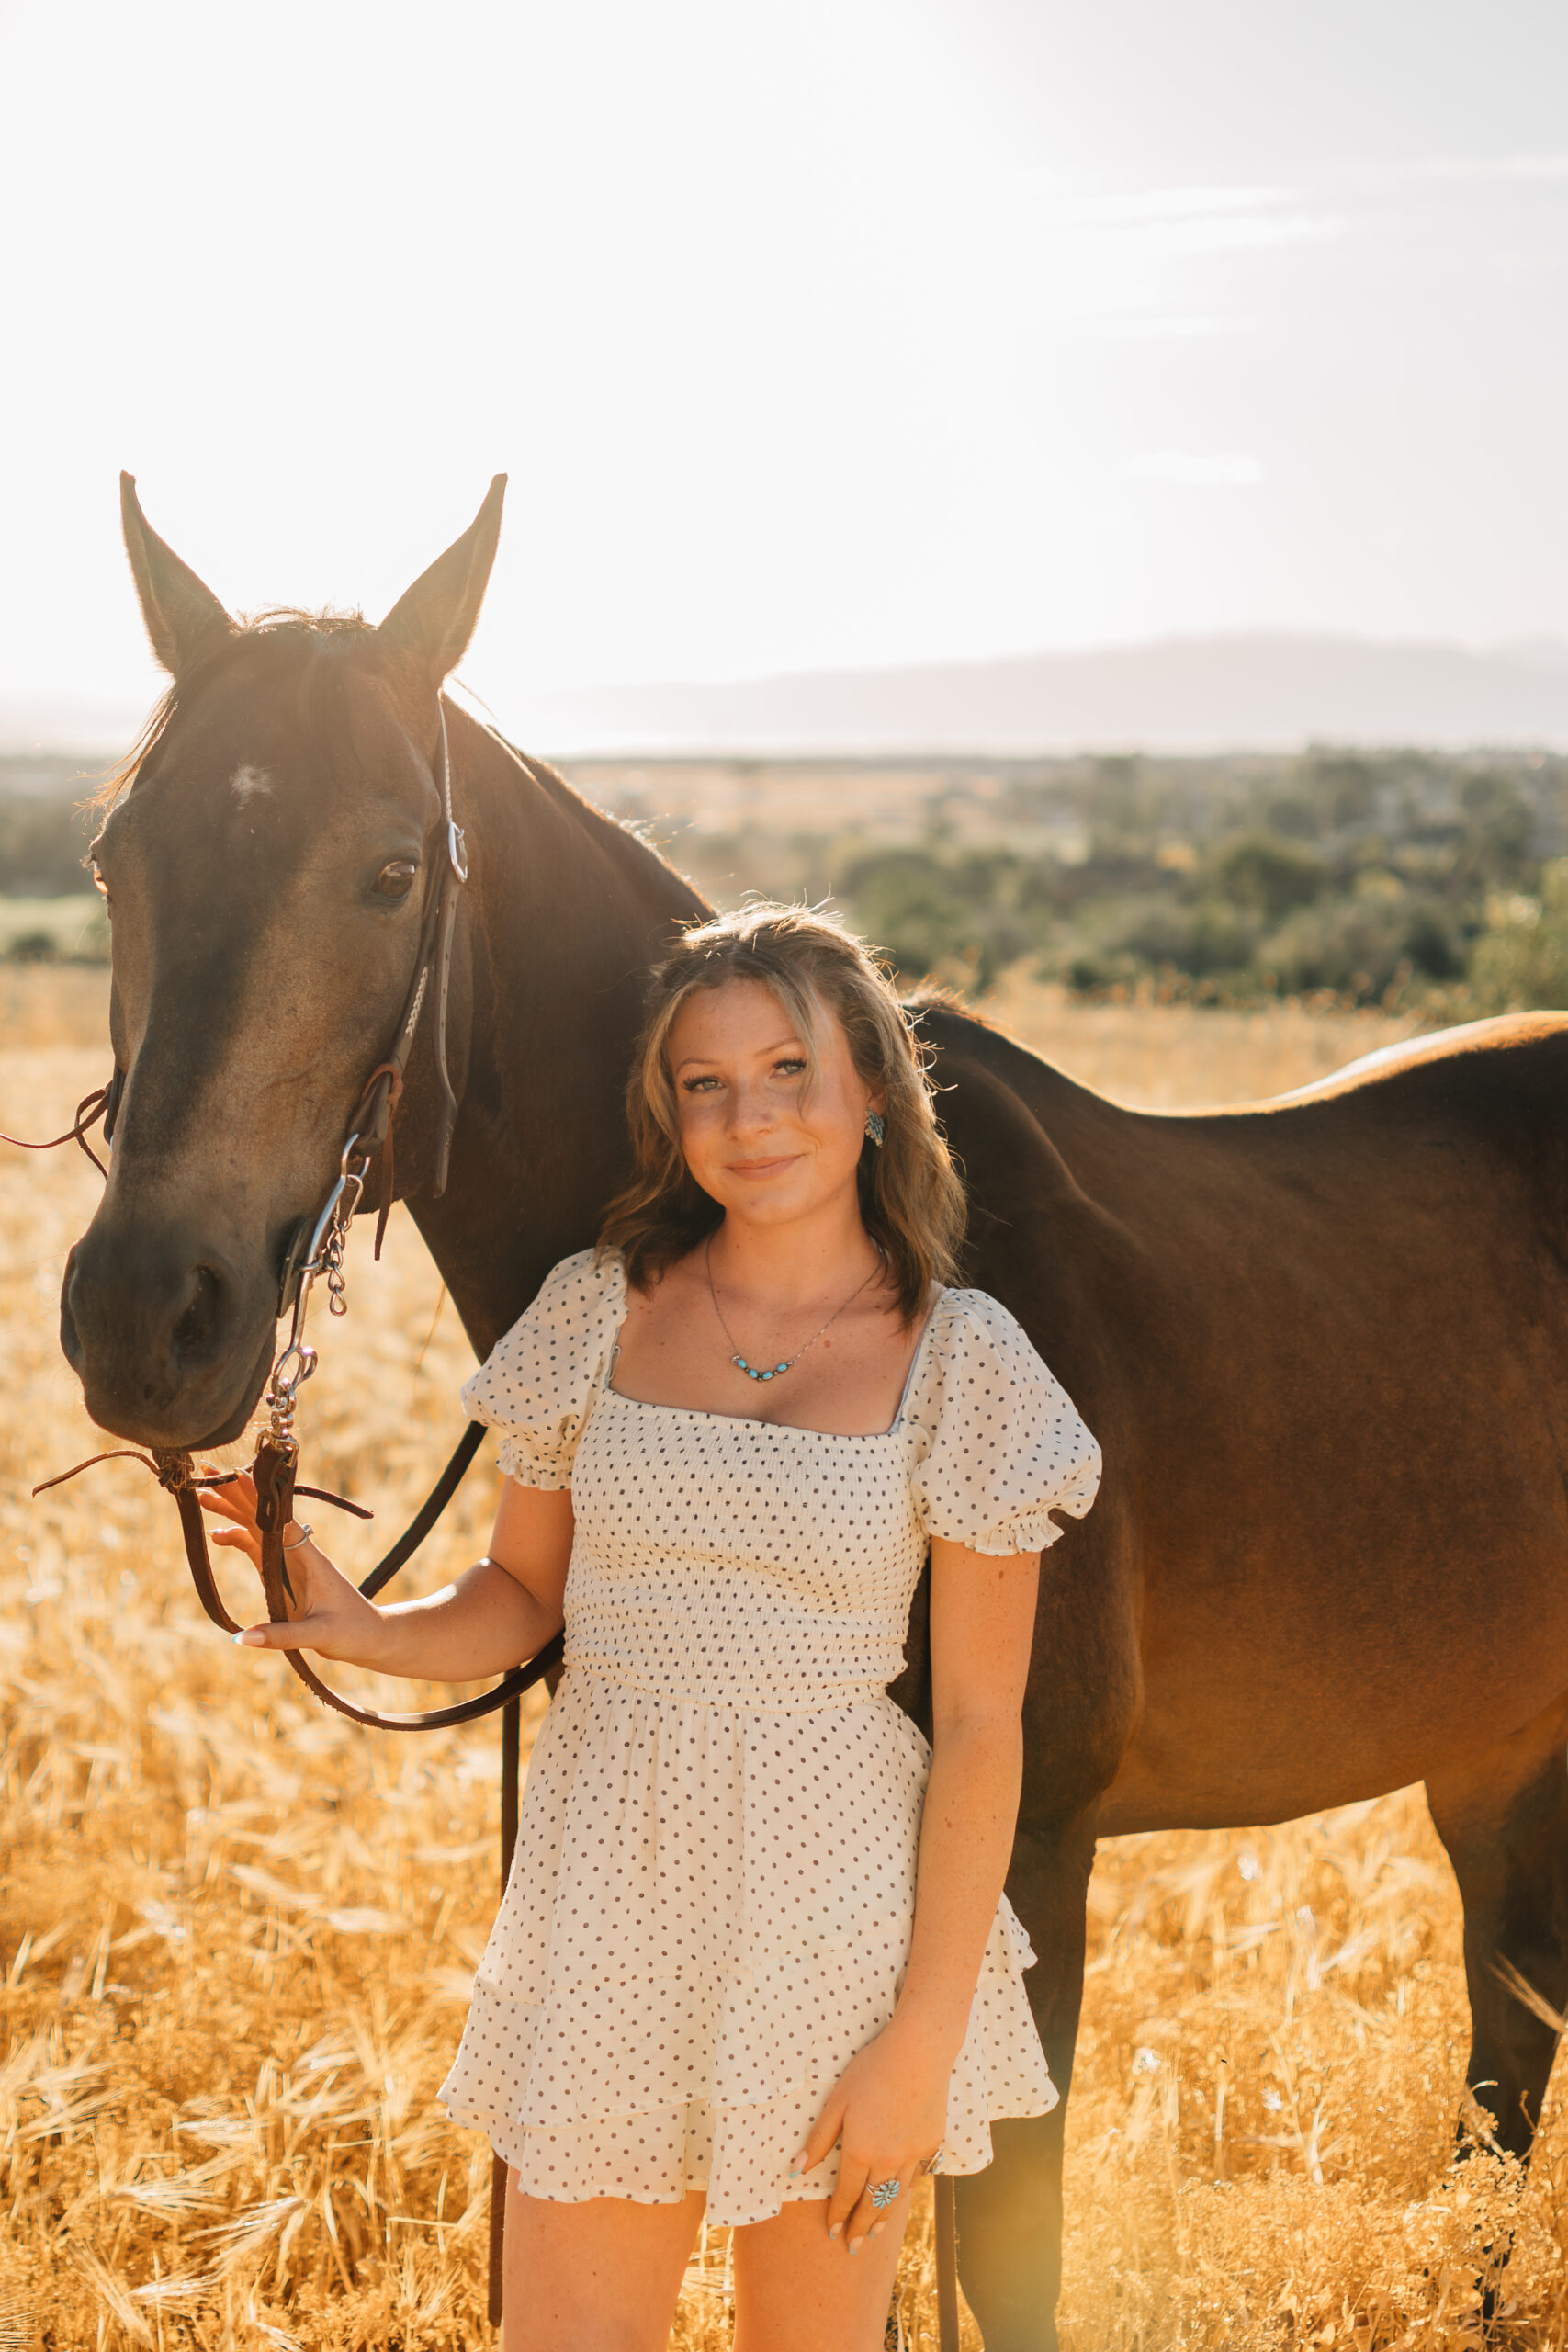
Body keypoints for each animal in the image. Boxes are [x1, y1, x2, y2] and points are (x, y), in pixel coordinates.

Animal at [57, 476, 1568, 2352]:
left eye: (390, 870)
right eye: (114, 858)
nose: (143, 1320)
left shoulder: (1025, 1865)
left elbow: (1002, 2266)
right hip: (1495, 1751)